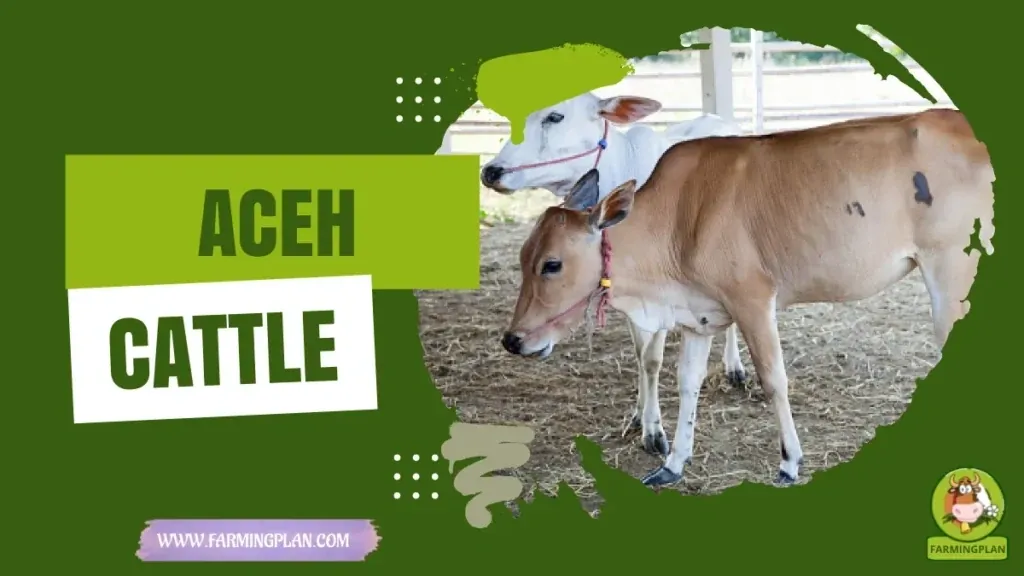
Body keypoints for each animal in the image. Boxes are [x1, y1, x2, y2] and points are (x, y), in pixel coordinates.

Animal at [478, 90, 749, 456]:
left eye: (555, 116)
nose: (491, 171)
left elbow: (651, 359)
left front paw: (654, 431)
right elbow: (638, 354)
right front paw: (638, 415)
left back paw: (735, 367)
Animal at [499, 108, 995, 487]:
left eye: (551, 264)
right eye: (523, 257)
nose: (512, 340)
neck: (677, 220)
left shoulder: (753, 299)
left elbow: (774, 380)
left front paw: (790, 462)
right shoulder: (697, 315)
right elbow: (687, 383)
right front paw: (673, 464)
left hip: (951, 271)